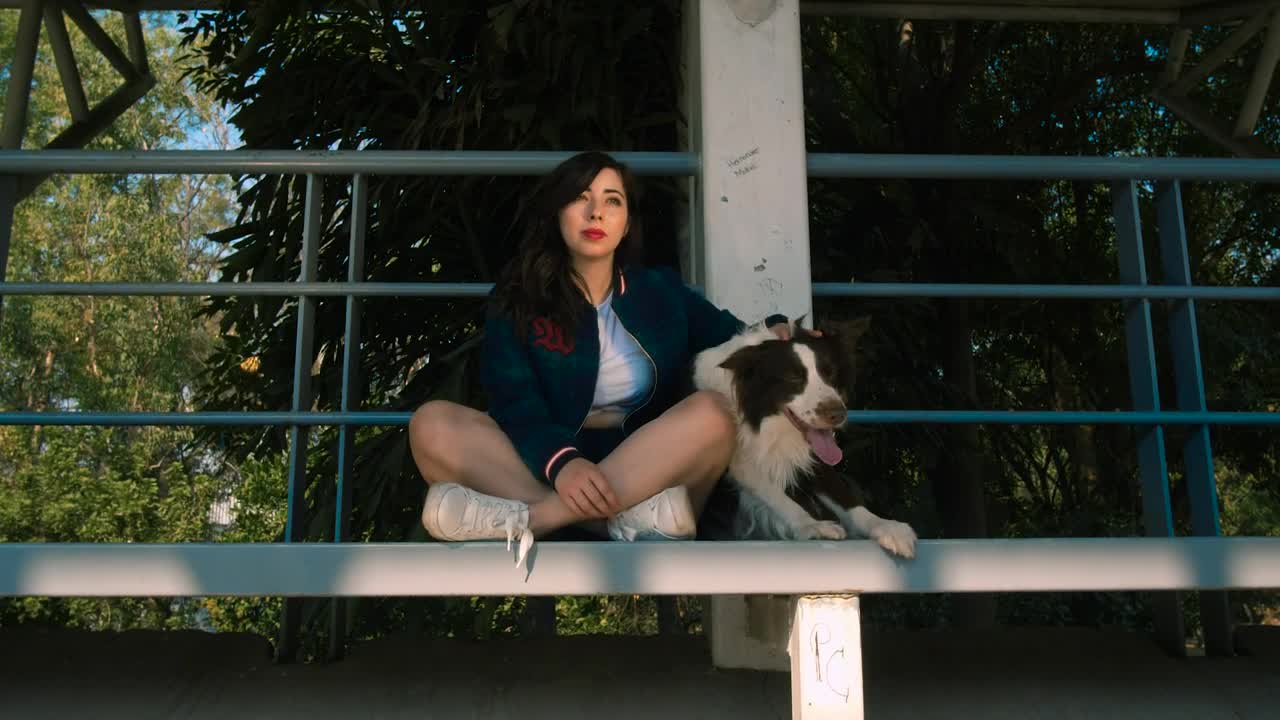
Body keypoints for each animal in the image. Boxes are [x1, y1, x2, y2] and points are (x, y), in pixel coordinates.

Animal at [696, 316, 916, 558]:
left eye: (830, 373)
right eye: (793, 378)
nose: (837, 414)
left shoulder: (817, 456)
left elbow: (843, 493)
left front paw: (887, 527)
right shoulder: (741, 464)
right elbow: (770, 490)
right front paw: (811, 525)